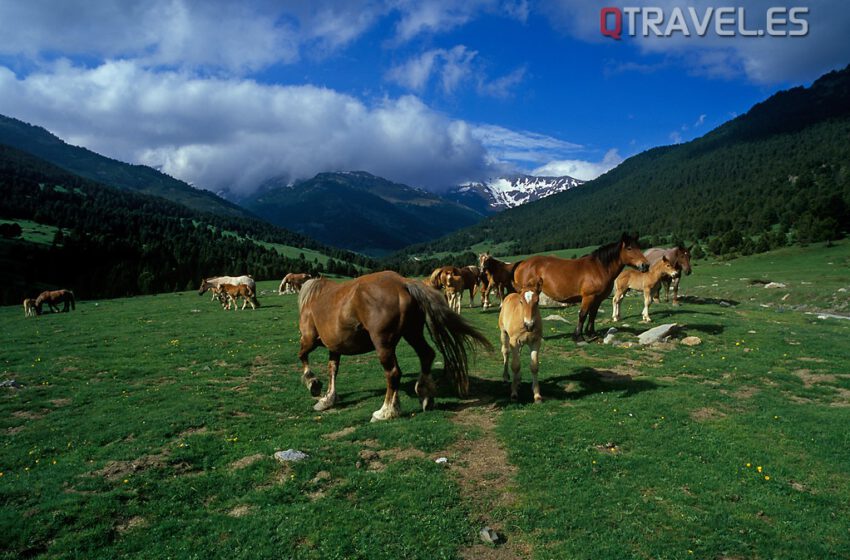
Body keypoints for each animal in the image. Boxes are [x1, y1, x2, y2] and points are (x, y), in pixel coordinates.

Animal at [296, 270, 486, 420]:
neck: (314, 298)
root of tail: (403, 283)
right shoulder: (335, 347)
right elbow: (332, 369)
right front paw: (328, 398)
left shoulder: (308, 340)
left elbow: (302, 356)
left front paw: (312, 383)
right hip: (412, 333)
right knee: (427, 355)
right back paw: (425, 395)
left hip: (383, 344)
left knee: (393, 373)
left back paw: (385, 411)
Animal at [510, 233, 648, 340]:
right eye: (629, 248)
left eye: (639, 247)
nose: (645, 265)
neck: (599, 268)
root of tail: (522, 263)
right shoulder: (588, 297)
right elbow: (583, 314)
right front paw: (578, 336)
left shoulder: (597, 299)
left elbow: (593, 315)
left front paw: (591, 333)